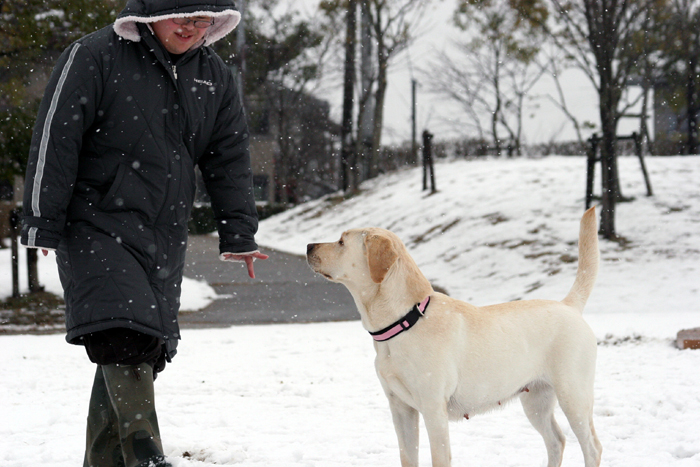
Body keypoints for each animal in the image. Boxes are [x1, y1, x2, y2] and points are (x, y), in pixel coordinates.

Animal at [306, 208, 600, 467]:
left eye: (342, 241)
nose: (308, 245)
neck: (405, 322)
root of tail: (568, 305)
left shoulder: (433, 407)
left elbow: (439, 458)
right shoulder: (400, 408)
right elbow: (407, 457)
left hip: (574, 396)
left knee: (592, 447)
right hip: (536, 400)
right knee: (556, 441)